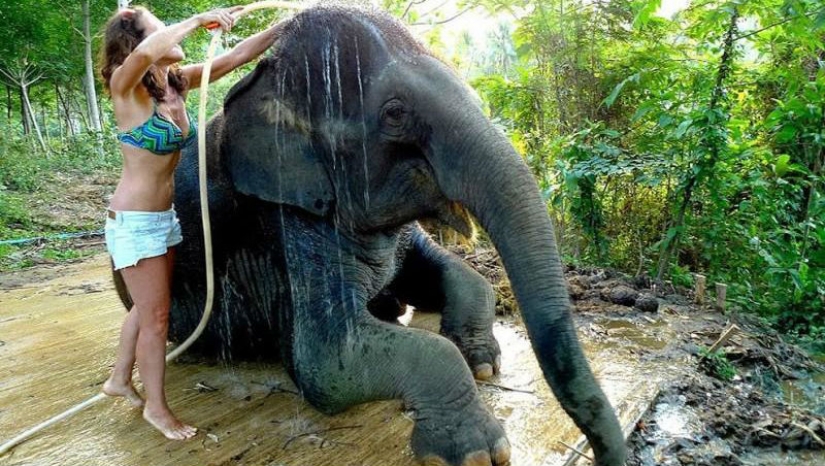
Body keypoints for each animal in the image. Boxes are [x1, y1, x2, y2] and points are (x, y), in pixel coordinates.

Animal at [116, 5, 625, 466]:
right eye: (395, 113)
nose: (603, 455)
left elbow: (460, 275)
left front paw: (482, 361)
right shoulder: (284, 223)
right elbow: (324, 360)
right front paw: (477, 451)